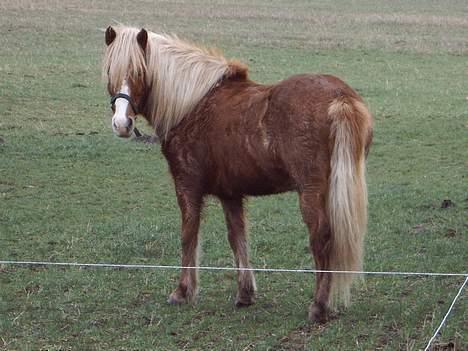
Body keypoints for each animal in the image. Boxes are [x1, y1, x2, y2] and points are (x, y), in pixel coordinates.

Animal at [102, 24, 372, 324]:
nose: (122, 124)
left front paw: (182, 292)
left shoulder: (187, 187)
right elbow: (237, 238)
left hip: (311, 192)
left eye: (139, 72)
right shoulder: (230, 194)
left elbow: (188, 234)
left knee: (321, 236)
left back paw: (319, 306)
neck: (192, 103)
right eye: (110, 71)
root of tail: (340, 98)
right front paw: (245, 294)